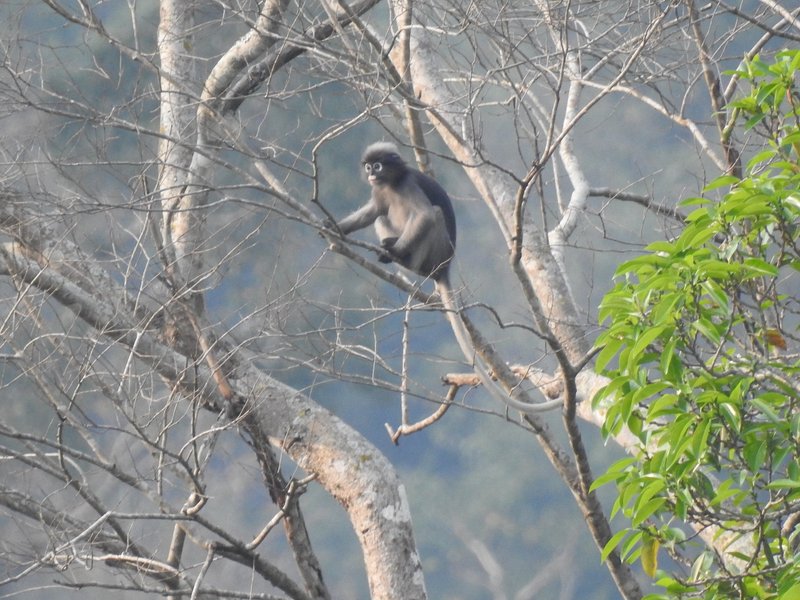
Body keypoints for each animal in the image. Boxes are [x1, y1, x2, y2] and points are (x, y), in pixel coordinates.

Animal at [333, 142, 561, 414]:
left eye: (377, 166)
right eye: (368, 167)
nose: (370, 174)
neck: (392, 183)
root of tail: (444, 268)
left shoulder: (408, 185)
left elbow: (425, 216)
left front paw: (395, 251)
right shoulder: (378, 191)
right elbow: (372, 212)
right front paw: (335, 228)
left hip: (434, 252)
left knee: (433, 214)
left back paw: (401, 257)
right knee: (381, 216)